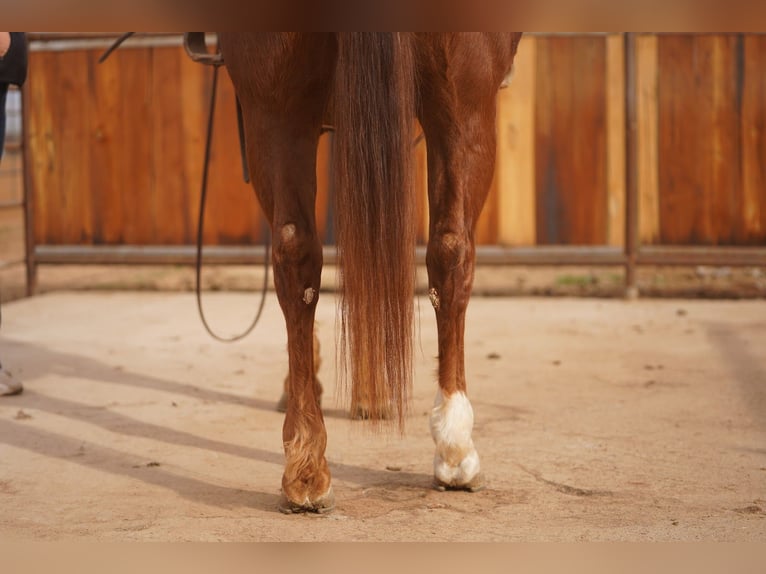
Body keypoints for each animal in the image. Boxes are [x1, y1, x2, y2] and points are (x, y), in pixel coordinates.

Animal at [218, 33, 522, 513]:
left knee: (298, 250)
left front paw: (368, 391)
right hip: (465, 103)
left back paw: (306, 465)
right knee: (451, 247)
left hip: (276, 107)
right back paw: (455, 450)